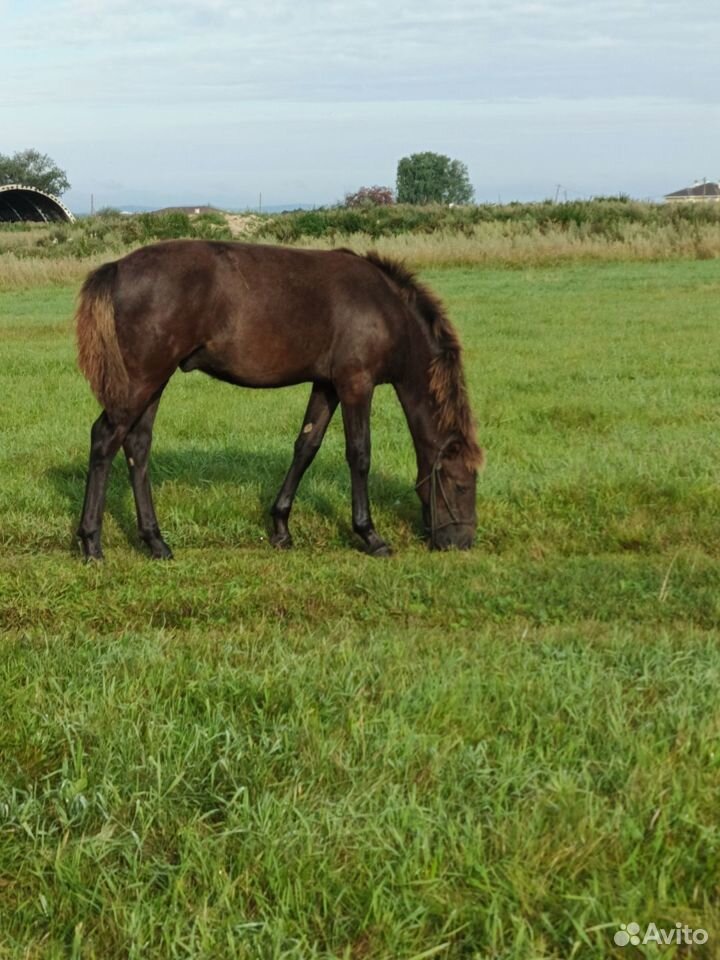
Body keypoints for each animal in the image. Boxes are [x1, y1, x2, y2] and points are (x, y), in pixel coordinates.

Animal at [76, 240, 484, 560]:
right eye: (462, 485)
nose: (461, 542)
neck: (386, 310)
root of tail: (117, 268)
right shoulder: (356, 384)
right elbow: (360, 455)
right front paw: (369, 535)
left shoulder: (326, 385)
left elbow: (306, 448)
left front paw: (281, 527)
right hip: (141, 381)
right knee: (105, 439)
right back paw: (91, 542)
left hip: (153, 382)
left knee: (137, 446)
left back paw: (155, 542)